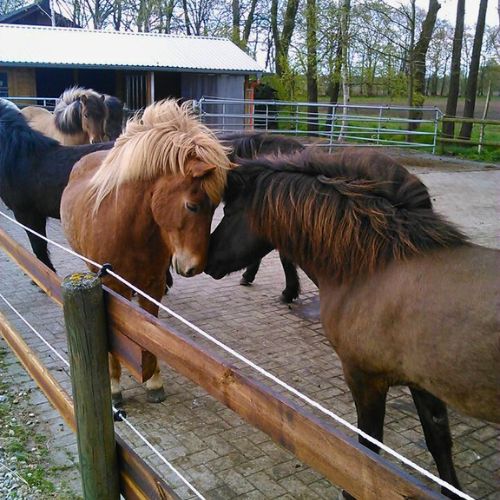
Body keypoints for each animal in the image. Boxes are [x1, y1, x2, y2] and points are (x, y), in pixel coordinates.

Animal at [61, 99, 230, 404]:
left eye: (215, 207)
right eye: (192, 206)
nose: (195, 266)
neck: (130, 230)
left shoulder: (153, 285)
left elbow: (151, 333)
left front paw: (154, 381)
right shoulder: (111, 287)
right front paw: (114, 386)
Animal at [205, 148, 498, 500]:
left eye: (229, 210)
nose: (206, 261)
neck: (374, 267)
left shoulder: (364, 379)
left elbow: (367, 453)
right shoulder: (422, 382)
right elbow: (438, 439)